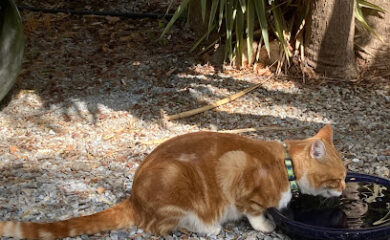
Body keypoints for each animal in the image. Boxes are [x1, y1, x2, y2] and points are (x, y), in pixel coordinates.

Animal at [0, 124, 348, 239]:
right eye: (339, 177)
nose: (346, 187)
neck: (284, 164)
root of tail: (135, 198)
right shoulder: (236, 169)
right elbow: (253, 211)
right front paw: (265, 224)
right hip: (177, 184)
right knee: (160, 226)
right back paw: (208, 227)